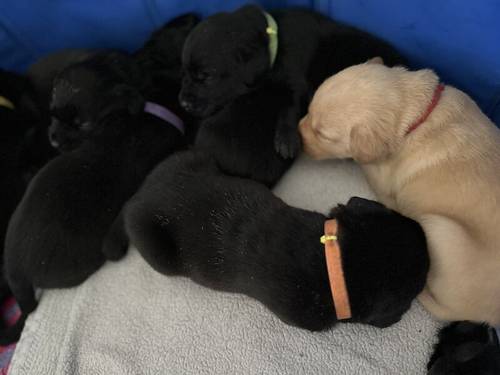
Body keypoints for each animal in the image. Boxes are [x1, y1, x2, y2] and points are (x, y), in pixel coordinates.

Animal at [180, 4, 406, 184]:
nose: (182, 103)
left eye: (206, 77)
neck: (271, 40)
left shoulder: (295, 76)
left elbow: (291, 103)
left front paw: (286, 139)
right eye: (185, 72)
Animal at [298, 57, 500, 324]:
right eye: (309, 111)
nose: (296, 136)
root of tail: (486, 317)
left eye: (322, 134)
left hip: (438, 229)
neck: (417, 116)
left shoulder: (382, 179)